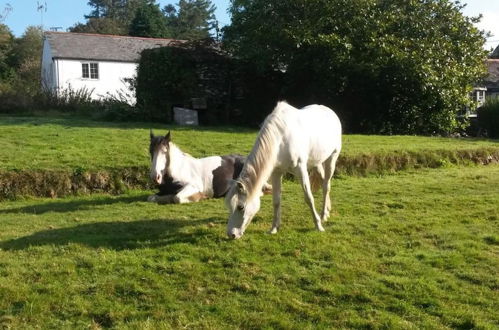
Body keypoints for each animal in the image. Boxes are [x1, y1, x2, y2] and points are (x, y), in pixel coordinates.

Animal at [227, 102, 344, 238]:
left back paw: (323, 215)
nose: (231, 234)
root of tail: (330, 112)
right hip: (317, 163)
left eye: (240, 207)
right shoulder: (276, 173)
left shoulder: (301, 169)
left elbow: (309, 197)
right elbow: (276, 201)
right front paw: (274, 228)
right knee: (323, 180)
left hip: (332, 158)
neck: (280, 139)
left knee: (326, 186)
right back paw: (327, 211)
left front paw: (318, 226)